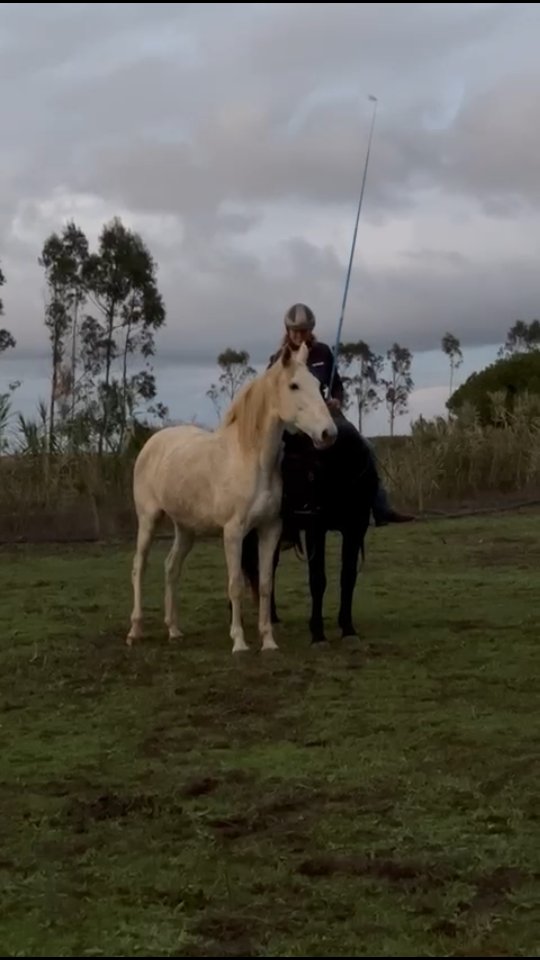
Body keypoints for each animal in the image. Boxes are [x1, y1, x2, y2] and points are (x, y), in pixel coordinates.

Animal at [126, 341, 338, 655]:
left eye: (318, 385)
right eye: (294, 385)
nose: (328, 433)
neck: (250, 460)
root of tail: (153, 442)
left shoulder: (269, 530)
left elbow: (265, 584)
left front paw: (268, 641)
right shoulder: (234, 532)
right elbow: (236, 584)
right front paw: (239, 642)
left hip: (186, 528)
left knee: (171, 567)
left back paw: (174, 630)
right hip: (148, 520)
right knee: (139, 567)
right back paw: (135, 630)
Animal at [239, 412, 379, 645]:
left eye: (311, 473)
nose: (302, 511)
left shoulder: (354, 529)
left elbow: (348, 577)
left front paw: (348, 629)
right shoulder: (316, 530)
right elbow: (317, 579)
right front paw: (318, 634)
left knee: (267, 569)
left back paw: (272, 616)